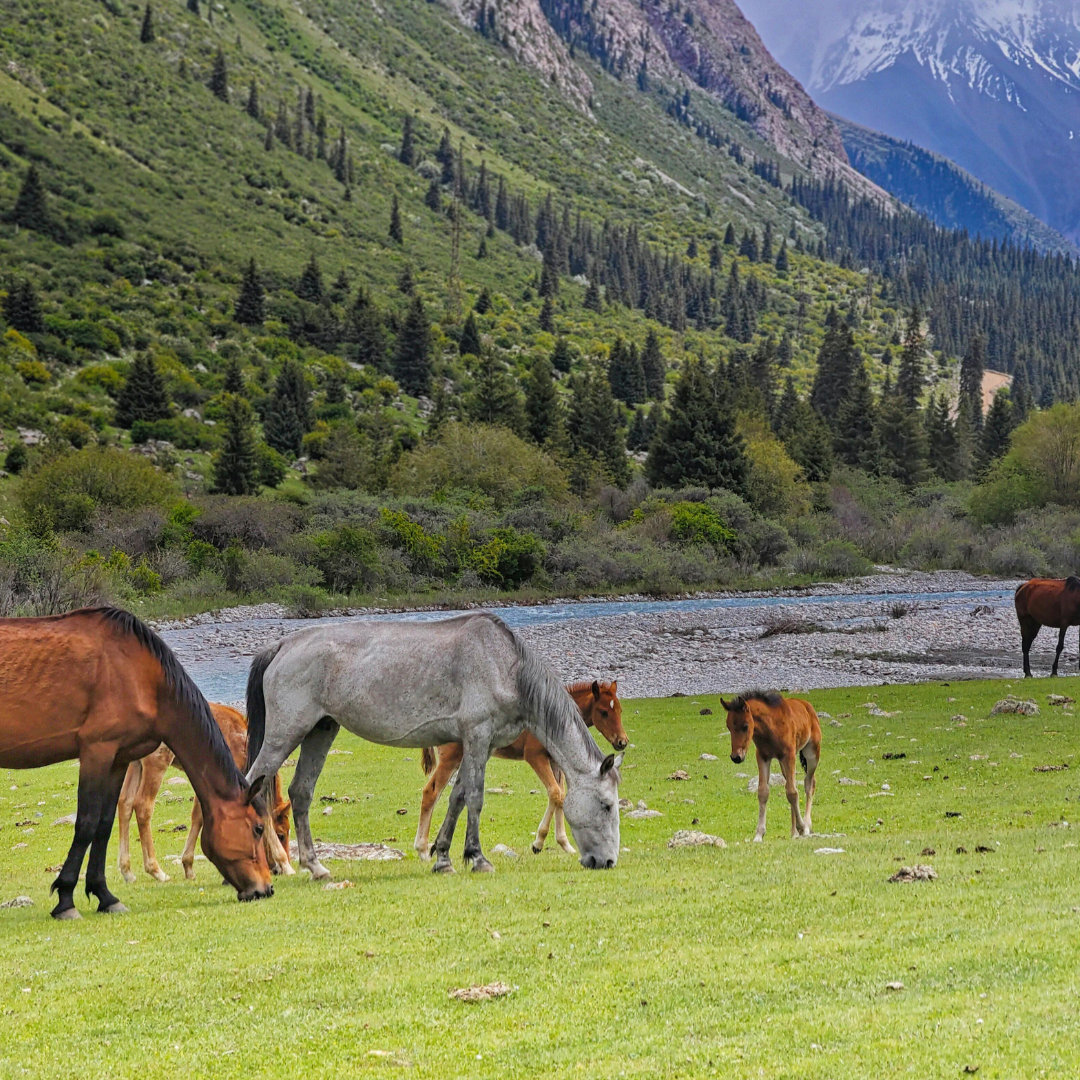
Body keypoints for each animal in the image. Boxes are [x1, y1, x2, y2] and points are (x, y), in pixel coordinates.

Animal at [0, 607, 273, 919]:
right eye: (258, 828)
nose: (265, 888)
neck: (143, 677)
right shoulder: (97, 752)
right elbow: (86, 823)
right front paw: (66, 899)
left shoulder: (119, 759)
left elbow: (105, 823)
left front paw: (105, 895)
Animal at [117, 703, 294, 885]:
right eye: (281, 835)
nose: (276, 870)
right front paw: (285, 864)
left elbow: (198, 816)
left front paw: (188, 866)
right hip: (157, 762)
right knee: (142, 806)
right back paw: (156, 871)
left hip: (135, 764)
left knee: (125, 803)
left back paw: (127, 871)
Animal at [414, 680, 627, 860]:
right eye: (603, 712)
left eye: (620, 710)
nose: (622, 741)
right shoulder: (535, 756)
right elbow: (554, 792)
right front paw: (538, 843)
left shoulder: (556, 761)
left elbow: (561, 795)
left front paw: (565, 844)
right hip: (451, 758)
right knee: (431, 792)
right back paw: (423, 849)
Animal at [720, 691, 821, 842]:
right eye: (728, 727)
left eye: (745, 726)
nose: (736, 757)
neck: (770, 728)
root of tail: (808, 706)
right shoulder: (763, 757)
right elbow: (763, 792)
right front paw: (759, 834)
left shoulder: (789, 755)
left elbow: (792, 793)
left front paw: (802, 827)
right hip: (783, 763)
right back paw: (794, 832)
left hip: (812, 753)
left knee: (809, 783)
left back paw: (807, 825)